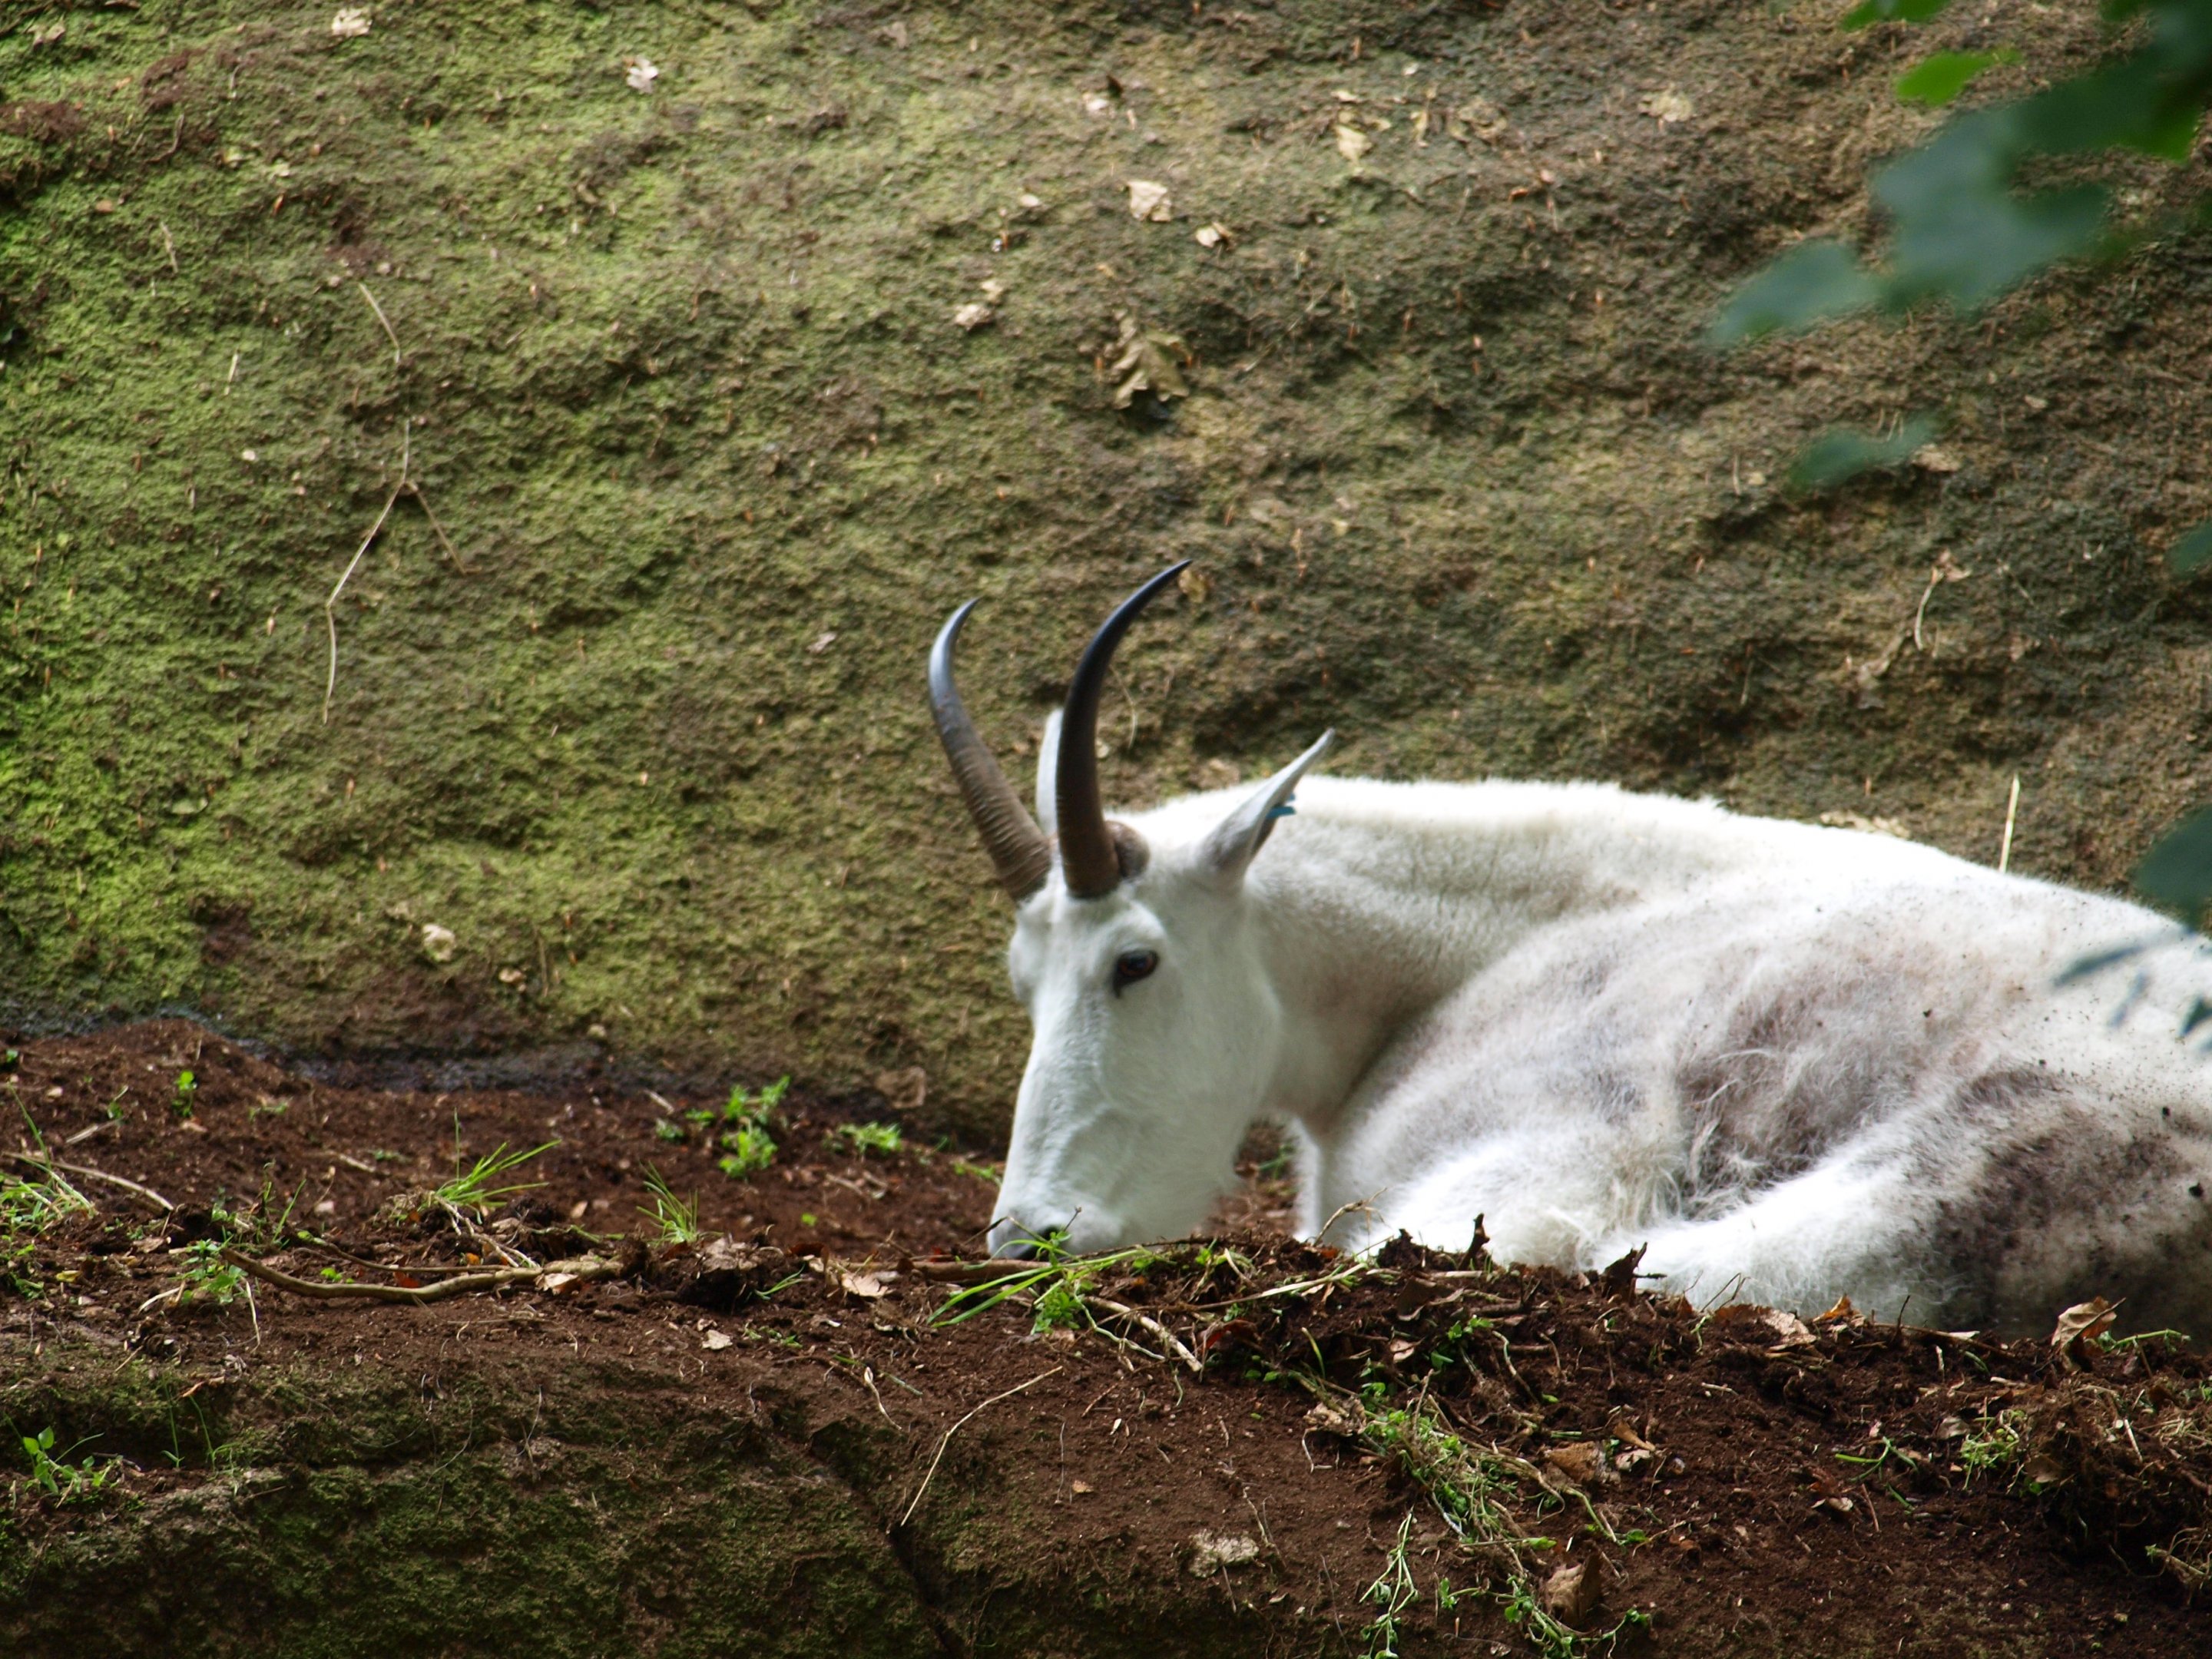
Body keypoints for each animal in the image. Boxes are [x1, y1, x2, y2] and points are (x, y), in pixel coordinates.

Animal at [929, 565, 2212, 1335]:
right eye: (1022, 979)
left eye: (1134, 962)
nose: (1027, 1236)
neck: (1482, 947)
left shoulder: (1554, 1154)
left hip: (1997, 1151)